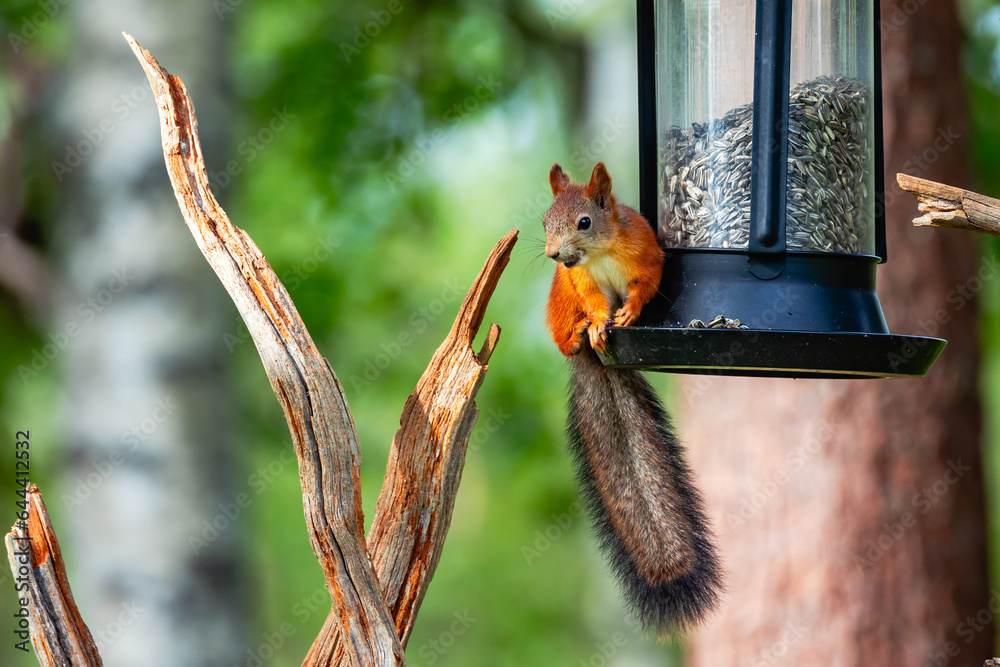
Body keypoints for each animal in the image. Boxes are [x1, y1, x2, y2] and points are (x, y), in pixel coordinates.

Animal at [542, 161, 722, 635]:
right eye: (545, 221)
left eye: (584, 222)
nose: (553, 255)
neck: (599, 255)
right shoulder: (581, 281)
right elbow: (593, 300)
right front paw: (600, 321)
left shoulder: (646, 258)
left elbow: (643, 287)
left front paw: (627, 313)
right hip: (560, 297)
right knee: (567, 333)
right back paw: (580, 335)